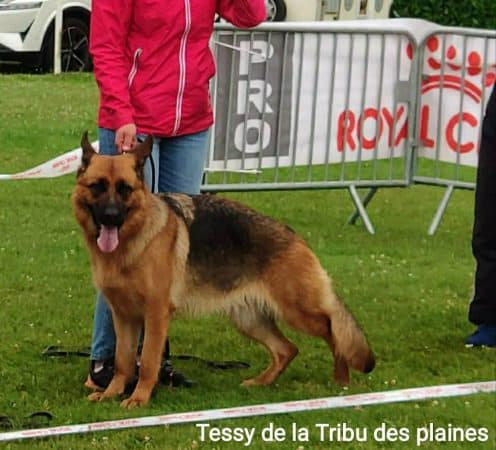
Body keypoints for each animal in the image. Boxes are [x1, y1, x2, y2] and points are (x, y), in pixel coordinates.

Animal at [72, 133, 372, 408]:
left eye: (124, 189)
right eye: (98, 187)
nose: (111, 217)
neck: (134, 239)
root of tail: (294, 236)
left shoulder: (155, 314)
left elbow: (146, 361)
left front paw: (139, 398)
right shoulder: (124, 316)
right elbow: (123, 360)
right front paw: (111, 393)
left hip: (298, 311)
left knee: (333, 329)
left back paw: (342, 378)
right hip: (248, 318)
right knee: (287, 349)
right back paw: (261, 382)